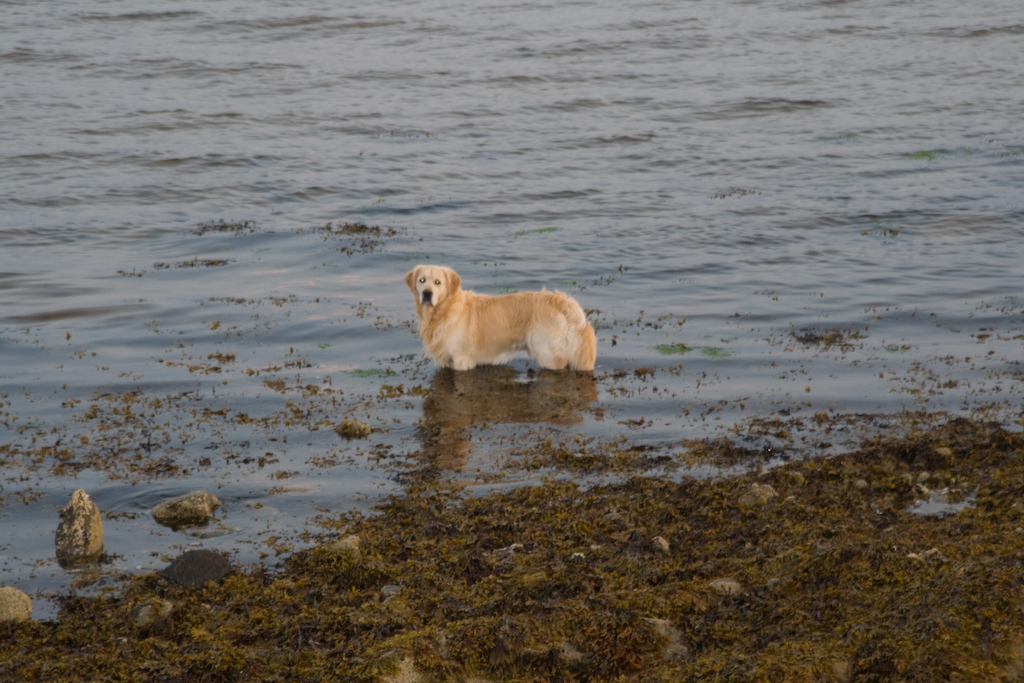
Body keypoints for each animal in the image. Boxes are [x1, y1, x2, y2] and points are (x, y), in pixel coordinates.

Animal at [403, 266, 598, 374]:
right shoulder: (446, 361)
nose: (427, 293)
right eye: (422, 280)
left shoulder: (461, 360)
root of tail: (557, 299)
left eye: (438, 282)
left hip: (547, 353)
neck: (443, 311)